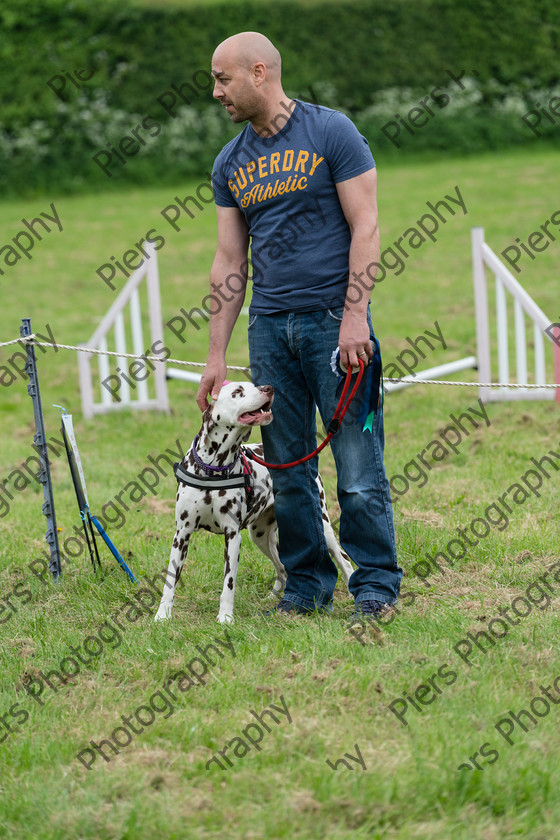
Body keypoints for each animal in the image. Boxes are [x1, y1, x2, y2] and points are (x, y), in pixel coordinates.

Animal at [155, 380, 352, 624]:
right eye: (237, 392)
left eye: (252, 386)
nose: (268, 388)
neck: (214, 468)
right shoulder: (182, 534)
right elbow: (170, 581)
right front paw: (162, 615)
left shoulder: (232, 536)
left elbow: (229, 584)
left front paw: (225, 617)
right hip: (260, 536)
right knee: (282, 569)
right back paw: (274, 598)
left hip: (323, 527)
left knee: (344, 560)